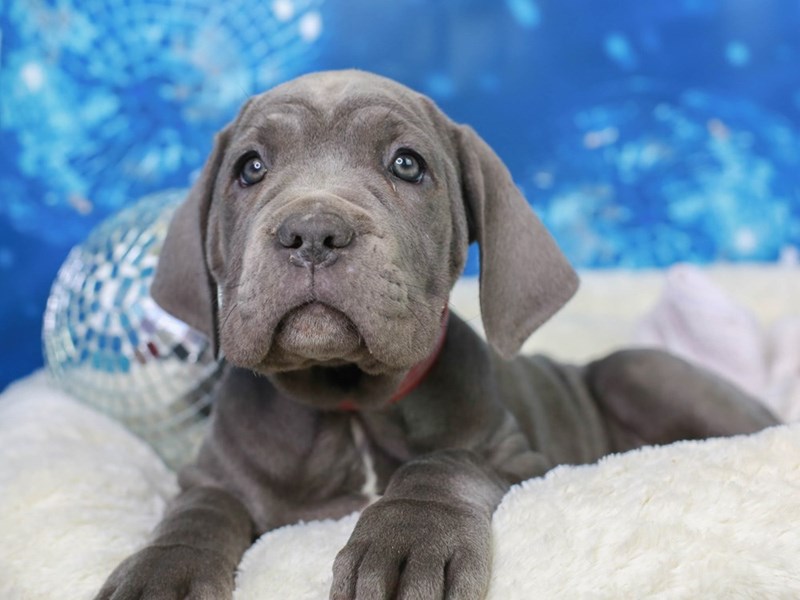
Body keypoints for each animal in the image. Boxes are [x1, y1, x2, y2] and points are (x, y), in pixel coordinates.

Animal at [97, 71, 780, 600]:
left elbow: (445, 460)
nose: (313, 231)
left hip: (638, 368)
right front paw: (160, 572)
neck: (348, 401)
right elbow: (197, 511)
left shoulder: (524, 459)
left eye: (406, 164)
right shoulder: (209, 474)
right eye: (250, 167)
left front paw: (406, 542)